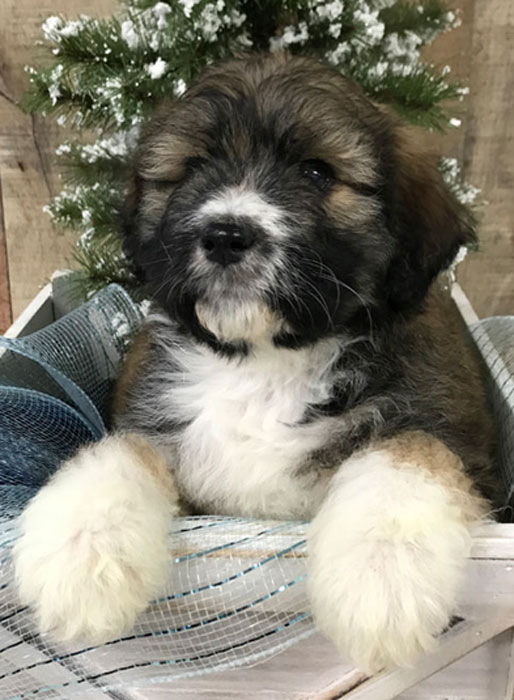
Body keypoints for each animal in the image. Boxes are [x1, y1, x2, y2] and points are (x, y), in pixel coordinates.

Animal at [15, 53, 496, 672]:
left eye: (316, 172)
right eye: (193, 168)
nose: (225, 234)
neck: (265, 360)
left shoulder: (451, 428)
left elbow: (412, 449)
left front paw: (382, 569)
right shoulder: (158, 413)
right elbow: (126, 448)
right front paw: (79, 545)